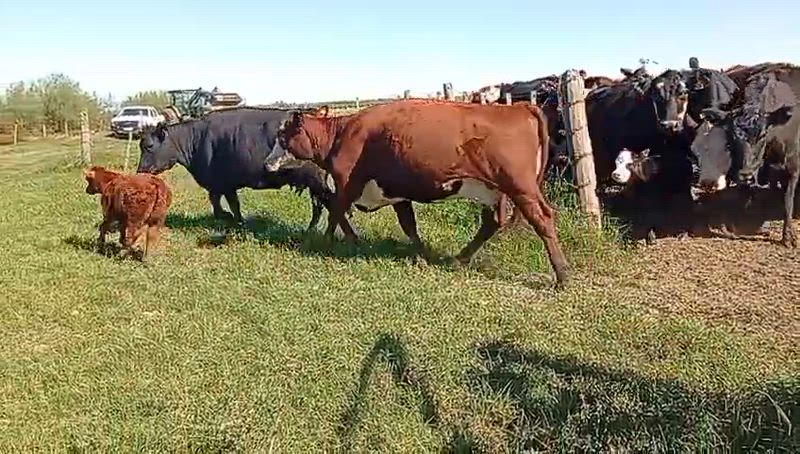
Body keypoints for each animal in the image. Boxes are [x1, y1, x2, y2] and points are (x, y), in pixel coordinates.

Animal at [136, 106, 337, 232]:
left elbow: (231, 204)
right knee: (319, 206)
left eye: (149, 146)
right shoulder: (219, 185)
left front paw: (235, 220)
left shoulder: (225, 183)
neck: (197, 139)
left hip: (317, 181)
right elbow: (218, 202)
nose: (140, 171)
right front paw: (228, 218)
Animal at [265, 99, 570, 286]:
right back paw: (459, 259)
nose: (267, 163)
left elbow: (335, 213)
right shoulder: (396, 192)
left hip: (521, 187)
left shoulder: (346, 184)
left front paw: (327, 243)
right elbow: (408, 225)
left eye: (282, 136)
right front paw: (421, 254)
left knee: (542, 219)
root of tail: (519, 107)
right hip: (493, 190)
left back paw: (562, 275)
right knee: (492, 222)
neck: (342, 133)